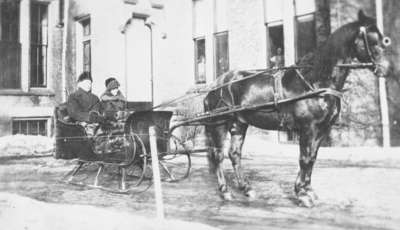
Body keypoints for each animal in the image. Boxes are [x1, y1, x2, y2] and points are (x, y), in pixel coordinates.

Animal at [203, 9, 390, 207]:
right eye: (372, 39)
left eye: (382, 38)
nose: (386, 69)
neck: (315, 82)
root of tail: (216, 85)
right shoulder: (308, 128)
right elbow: (305, 158)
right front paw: (302, 195)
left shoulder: (322, 129)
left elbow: (312, 158)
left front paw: (308, 191)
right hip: (219, 124)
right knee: (218, 156)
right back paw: (225, 192)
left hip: (239, 124)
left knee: (234, 154)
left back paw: (247, 189)